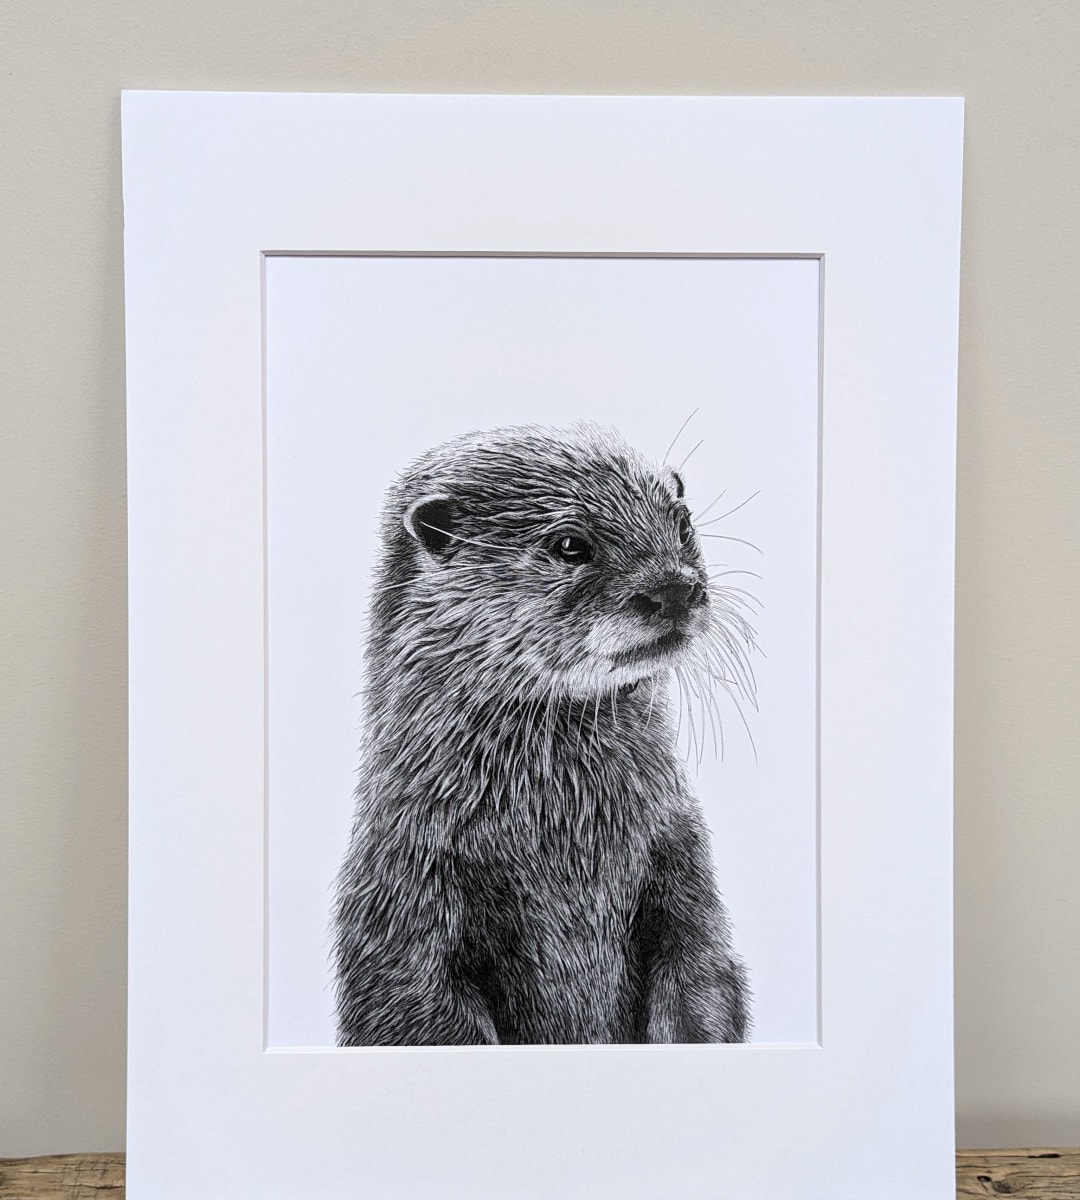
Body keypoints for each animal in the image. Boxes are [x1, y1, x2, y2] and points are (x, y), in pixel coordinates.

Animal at [333, 423, 754, 1045]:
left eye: (681, 523)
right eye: (570, 545)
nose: (675, 589)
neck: (564, 838)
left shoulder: (680, 855)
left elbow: (701, 976)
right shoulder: (402, 903)